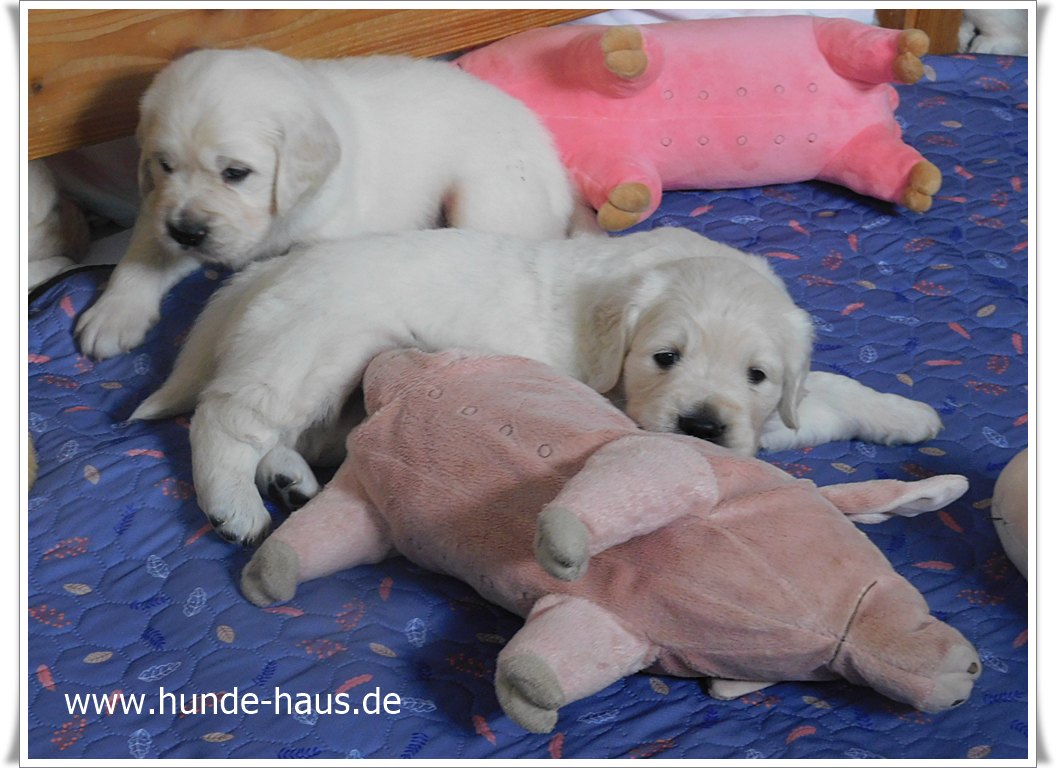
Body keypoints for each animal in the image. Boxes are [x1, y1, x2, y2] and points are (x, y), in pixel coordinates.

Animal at [74, 47, 575, 359]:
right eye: (164, 165)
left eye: (235, 173)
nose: (187, 232)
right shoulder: (159, 207)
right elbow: (143, 250)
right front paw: (112, 315)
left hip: (488, 196)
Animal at [132, 227, 943, 546]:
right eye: (665, 356)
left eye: (757, 374)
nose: (703, 427)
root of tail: (268, 268)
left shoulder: (769, 414)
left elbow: (825, 392)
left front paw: (909, 414)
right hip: (312, 351)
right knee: (225, 418)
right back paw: (237, 504)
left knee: (284, 434)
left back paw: (291, 480)